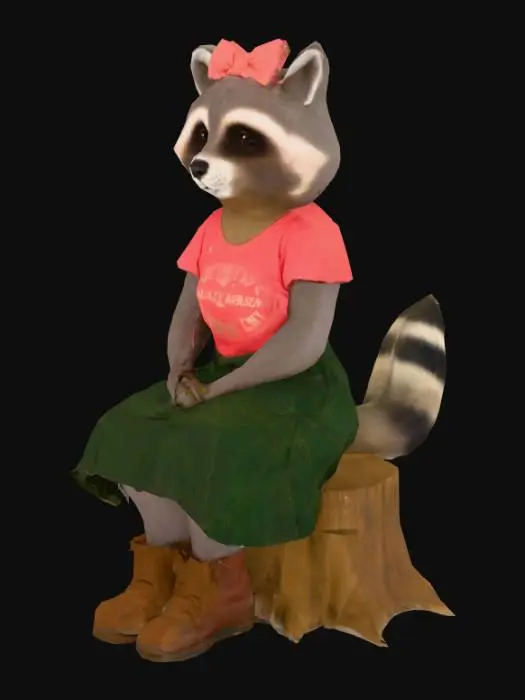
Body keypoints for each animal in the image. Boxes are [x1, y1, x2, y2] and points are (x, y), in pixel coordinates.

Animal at [174, 41, 446, 460]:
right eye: (201, 133)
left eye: (244, 138)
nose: (198, 166)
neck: (252, 212)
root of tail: (349, 428)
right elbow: (188, 306)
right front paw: (177, 375)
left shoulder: (321, 241)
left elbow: (303, 337)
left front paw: (210, 392)